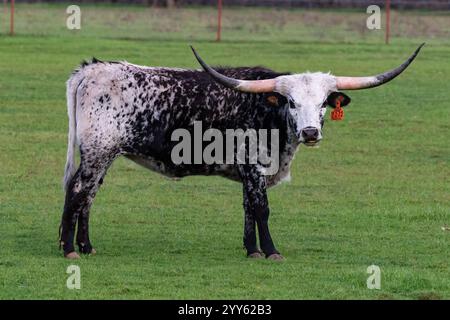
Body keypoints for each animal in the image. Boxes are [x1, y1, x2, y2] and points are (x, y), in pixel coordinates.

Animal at [59, 44, 422, 260]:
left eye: (322, 103)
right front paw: (271, 251)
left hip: (104, 155)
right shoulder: (254, 166)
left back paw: (87, 246)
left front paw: (252, 249)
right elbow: (261, 208)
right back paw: (68, 249)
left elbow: (248, 207)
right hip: (99, 151)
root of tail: (91, 70)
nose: (310, 132)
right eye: (292, 102)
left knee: (89, 195)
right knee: (77, 191)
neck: (268, 111)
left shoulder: (249, 173)